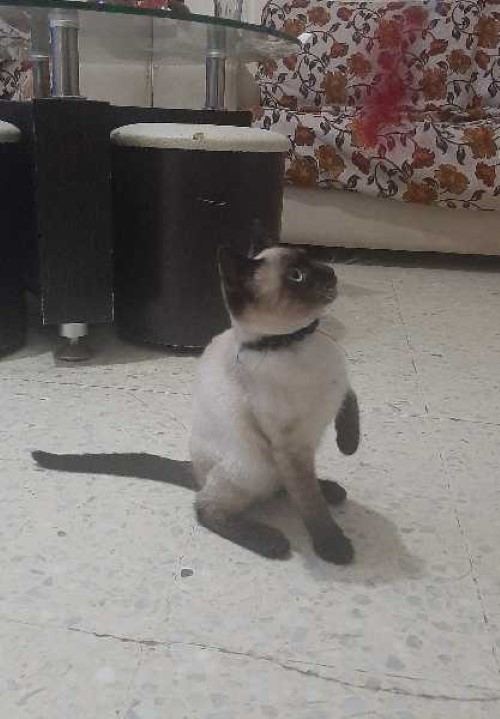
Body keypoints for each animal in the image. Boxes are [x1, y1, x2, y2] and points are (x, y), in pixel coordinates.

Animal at [190, 244, 360, 564]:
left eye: (312, 260)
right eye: (296, 276)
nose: (330, 271)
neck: (300, 341)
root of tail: (195, 475)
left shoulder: (342, 385)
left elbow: (351, 406)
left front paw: (349, 446)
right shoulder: (291, 447)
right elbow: (309, 504)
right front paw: (332, 546)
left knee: (287, 487)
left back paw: (331, 490)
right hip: (251, 467)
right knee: (205, 508)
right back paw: (271, 543)